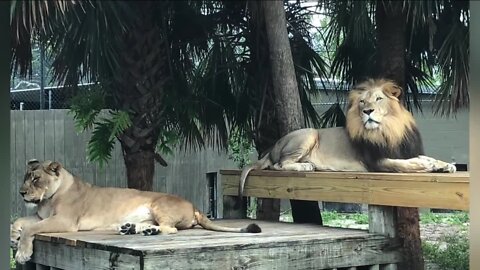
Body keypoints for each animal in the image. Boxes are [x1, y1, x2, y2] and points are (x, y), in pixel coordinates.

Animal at [11, 160, 258, 264]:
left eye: (36, 178)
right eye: (25, 177)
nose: (21, 193)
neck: (46, 200)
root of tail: (194, 206)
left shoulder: (65, 220)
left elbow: (31, 229)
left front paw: (22, 253)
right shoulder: (41, 215)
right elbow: (19, 220)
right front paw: (14, 235)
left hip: (159, 205)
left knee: (170, 229)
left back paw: (142, 231)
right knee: (156, 226)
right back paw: (131, 228)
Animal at [238, 78, 456, 196]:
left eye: (378, 98)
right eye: (362, 102)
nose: (367, 111)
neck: (387, 129)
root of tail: (272, 147)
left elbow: (422, 157)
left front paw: (445, 165)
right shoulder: (376, 162)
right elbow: (402, 164)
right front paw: (425, 165)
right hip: (309, 133)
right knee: (279, 164)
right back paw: (304, 166)